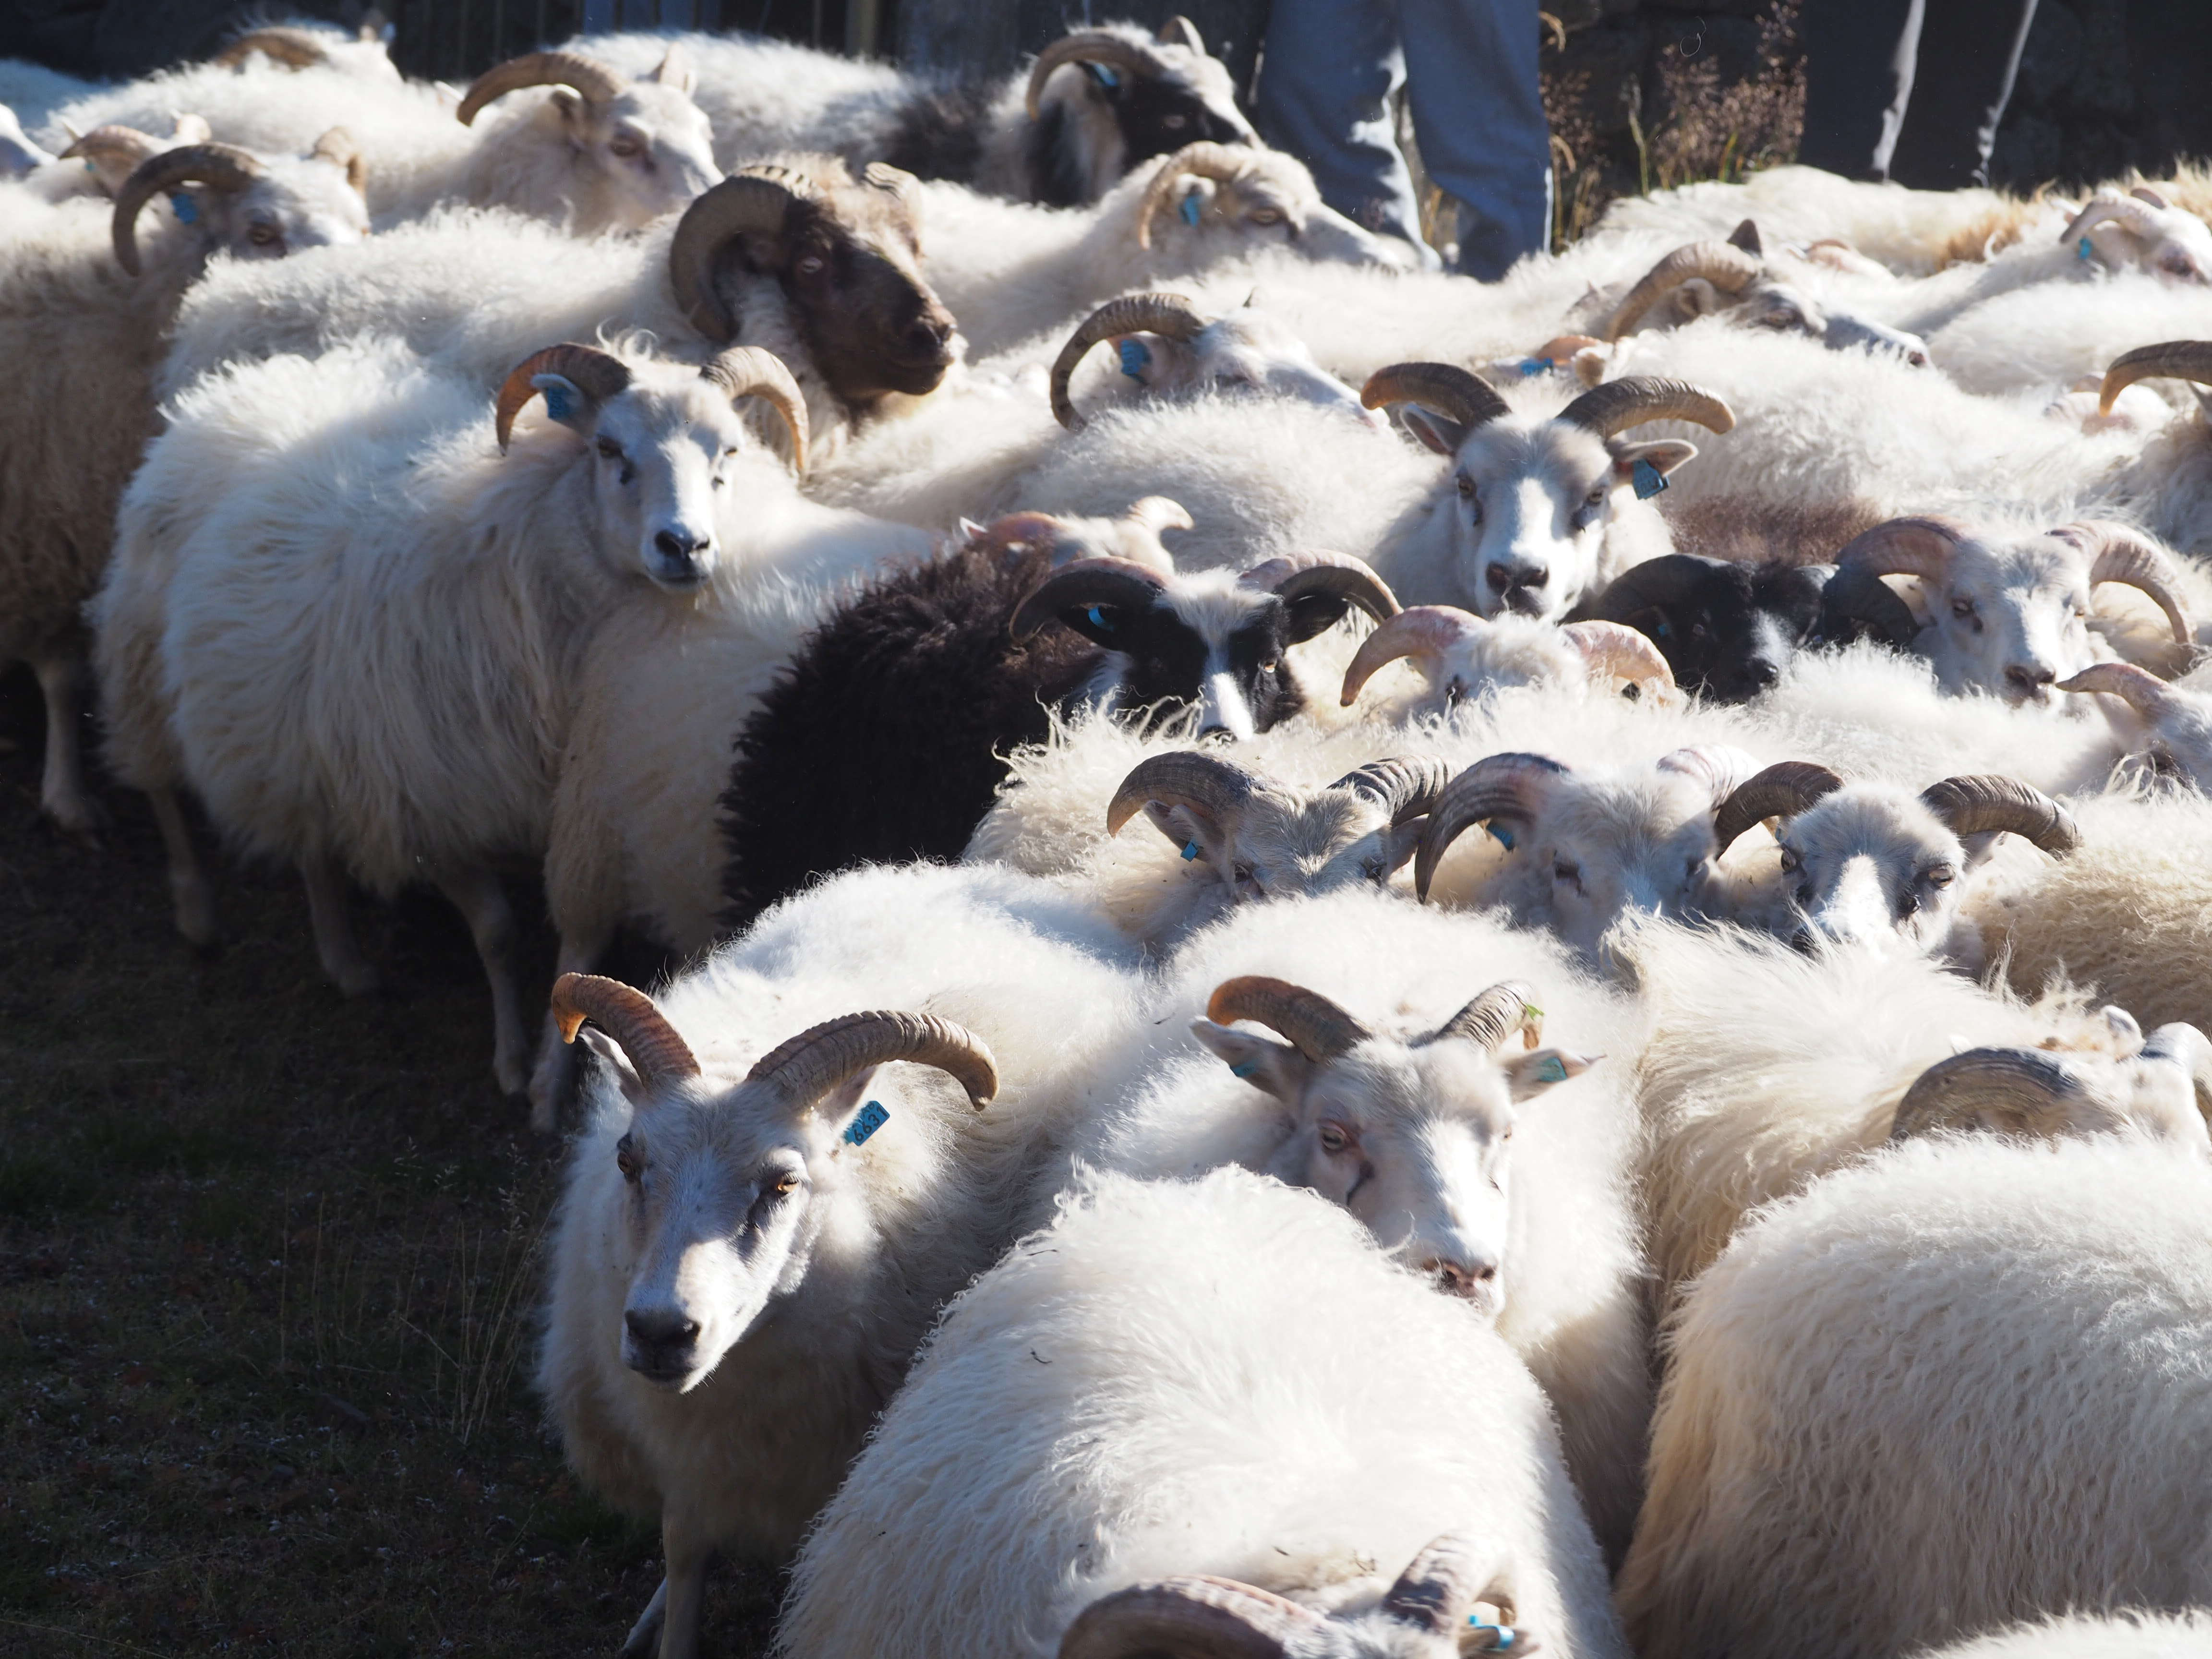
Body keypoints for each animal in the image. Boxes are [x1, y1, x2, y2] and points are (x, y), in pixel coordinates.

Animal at [90, 336, 810, 1098]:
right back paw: (196, 910)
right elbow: (496, 932)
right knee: (161, 787)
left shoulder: (574, 799)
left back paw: (346, 961)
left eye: (728, 450)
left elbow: (577, 935)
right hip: (142, 662)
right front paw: (513, 1062)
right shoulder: (432, 806)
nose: (685, 547)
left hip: (296, 718)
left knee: (308, 833)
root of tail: (239, 386)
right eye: (609, 449)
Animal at [539, 859, 1145, 1659]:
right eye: (627, 1160)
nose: (662, 1331)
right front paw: (669, 1620)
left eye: (784, 1182)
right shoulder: (690, 1454)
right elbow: (683, 1547)